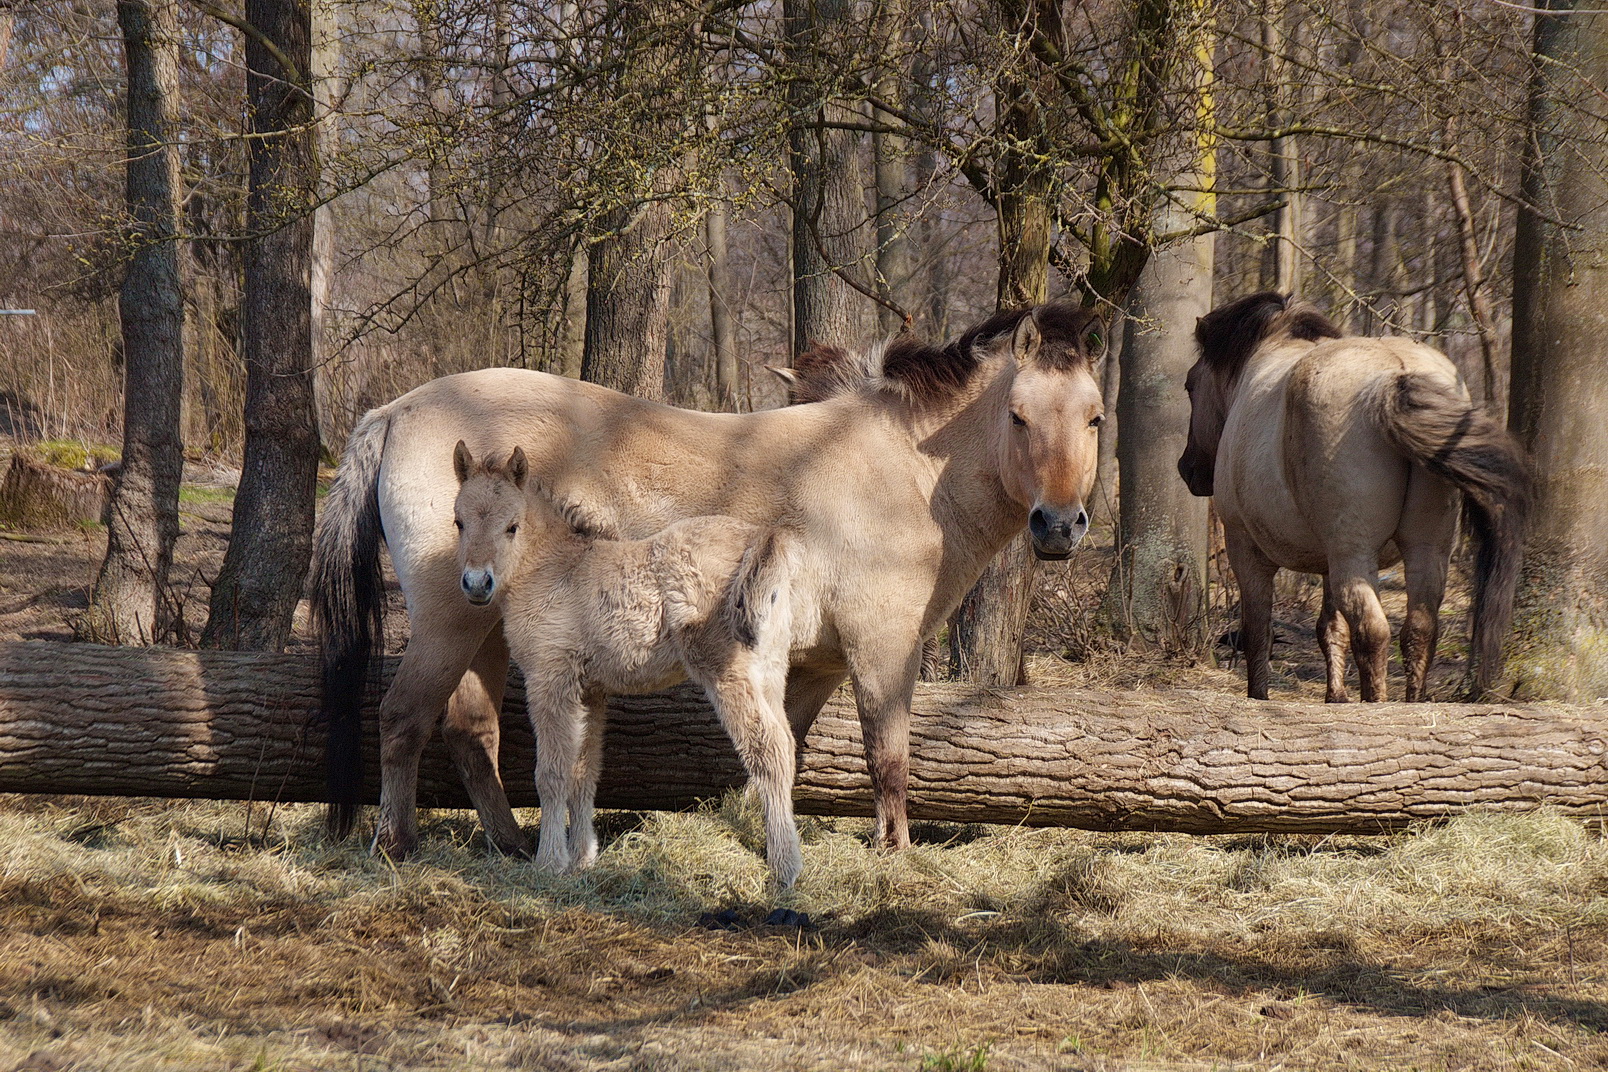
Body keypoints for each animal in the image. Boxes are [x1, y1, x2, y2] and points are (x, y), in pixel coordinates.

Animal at [450, 440, 800, 887]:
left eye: (512, 526)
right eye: (459, 522)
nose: (477, 584)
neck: (553, 570)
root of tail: (759, 536)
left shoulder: (550, 678)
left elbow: (552, 773)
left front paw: (549, 862)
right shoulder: (590, 690)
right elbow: (584, 772)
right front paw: (582, 859)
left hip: (727, 671)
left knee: (768, 750)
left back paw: (784, 871)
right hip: (769, 671)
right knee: (787, 745)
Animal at [1183, 290, 1530, 703]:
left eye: (1189, 385)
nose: (1187, 468)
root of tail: (1394, 377)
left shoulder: (1245, 548)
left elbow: (1258, 633)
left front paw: (1259, 695)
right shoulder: (1327, 562)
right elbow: (1331, 630)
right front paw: (1335, 697)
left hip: (1354, 553)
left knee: (1373, 631)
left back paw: (1375, 702)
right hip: (1425, 549)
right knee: (1420, 629)